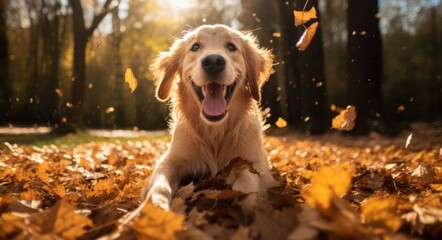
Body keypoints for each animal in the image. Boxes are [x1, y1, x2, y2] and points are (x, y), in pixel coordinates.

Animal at [143, 24, 276, 210]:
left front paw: (246, 206)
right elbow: (159, 185)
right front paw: (155, 207)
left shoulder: (255, 162)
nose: (213, 61)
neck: (215, 131)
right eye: (195, 47)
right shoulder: (170, 160)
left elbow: (247, 183)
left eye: (231, 47)